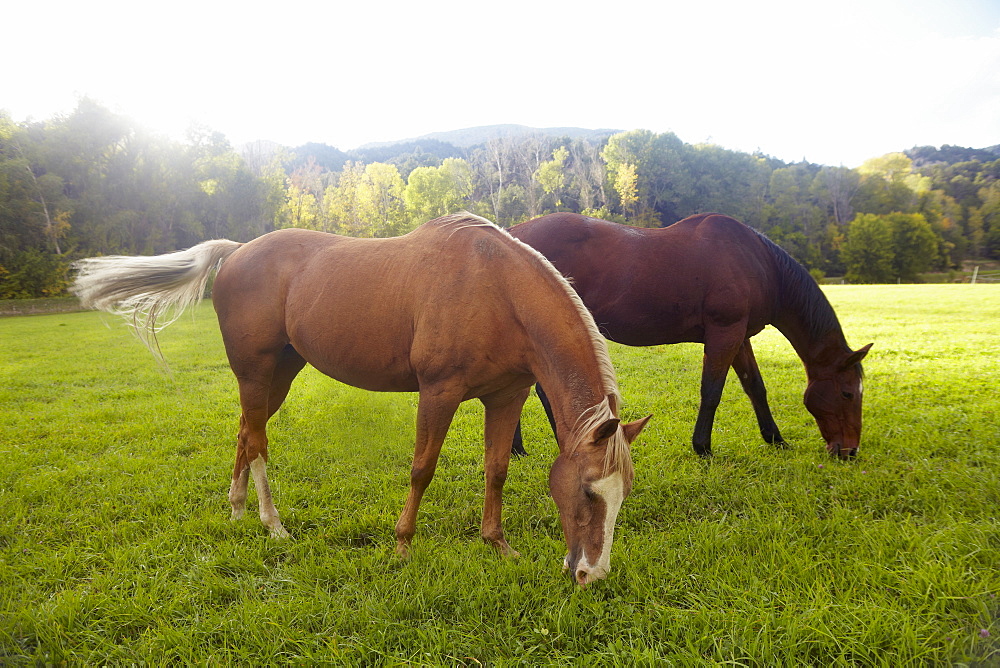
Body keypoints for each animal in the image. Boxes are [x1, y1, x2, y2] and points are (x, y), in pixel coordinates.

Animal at [70, 214, 648, 584]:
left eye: (623, 494)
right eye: (589, 492)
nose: (592, 574)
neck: (497, 289)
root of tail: (235, 252)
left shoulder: (506, 396)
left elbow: (497, 469)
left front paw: (497, 545)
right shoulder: (439, 392)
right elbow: (422, 468)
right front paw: (402, 546)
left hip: (278, 375)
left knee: (244, 432)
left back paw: (236, 512)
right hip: (257, 374)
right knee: (257, 442)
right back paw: (272, 525)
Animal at [508, 213, 868, 460]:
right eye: (848, 393)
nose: (849, 451)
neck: (759, 263)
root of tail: (512, 234)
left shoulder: (740, 337)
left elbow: (756, 388)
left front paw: (775, 439)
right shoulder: (724, 334)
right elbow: (712, 391)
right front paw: (702, 447)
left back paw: (518, 450)